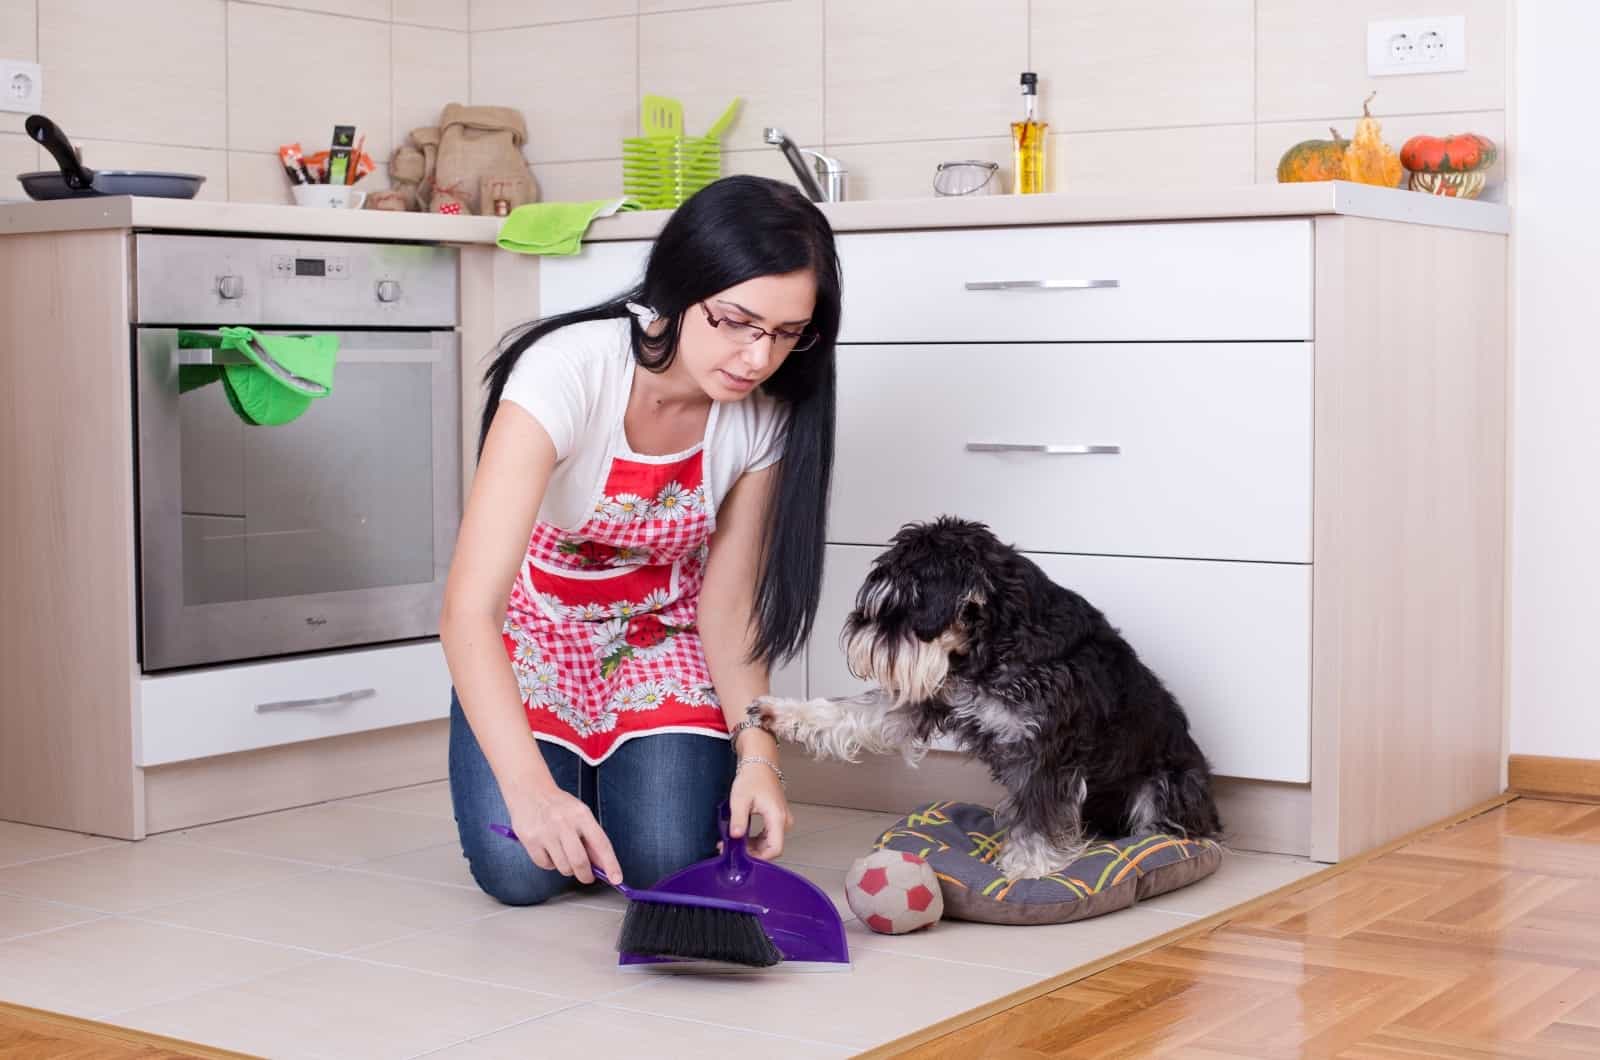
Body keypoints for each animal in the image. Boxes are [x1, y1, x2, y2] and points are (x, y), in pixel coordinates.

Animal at [755, 521, 1216, 877]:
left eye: (903, 607)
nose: (854, 634)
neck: (994, 645)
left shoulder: (1045, 752)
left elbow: (1035, 817)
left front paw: (1025, 869)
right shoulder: (925, 700)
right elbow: (850, 712)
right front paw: (779, 711)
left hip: (1166, 784)